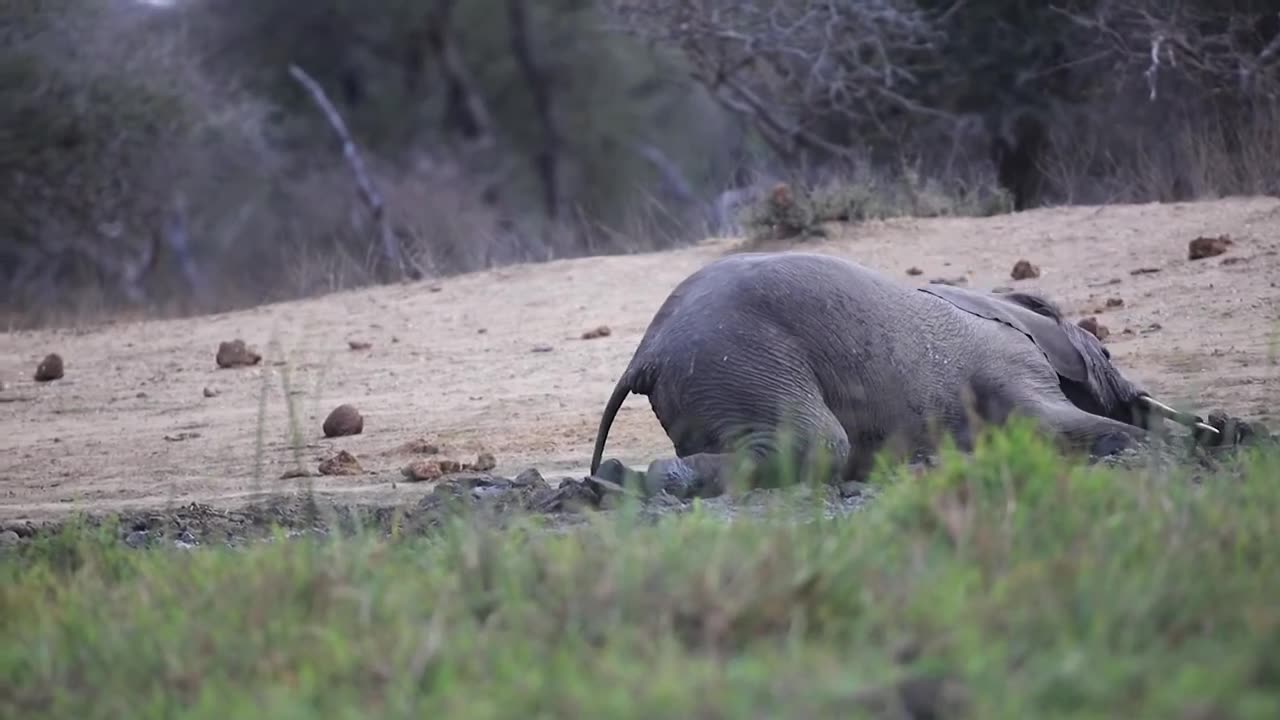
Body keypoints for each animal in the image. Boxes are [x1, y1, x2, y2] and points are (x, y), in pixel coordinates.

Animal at [588, 249, 1218, 497]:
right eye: (1107, 356)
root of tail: (646, 353)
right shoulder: (1008, 362)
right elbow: (1047, 421)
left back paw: (615, 483)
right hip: (744, 361)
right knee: (820, 445)